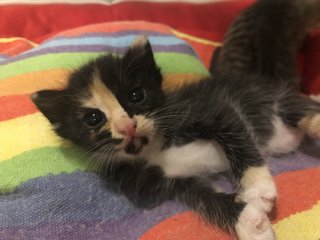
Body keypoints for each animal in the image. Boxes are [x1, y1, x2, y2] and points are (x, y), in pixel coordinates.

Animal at [31, 0, 320, 239]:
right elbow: (204, 198)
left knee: (300, 111)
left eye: (137, 95)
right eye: (93, 118)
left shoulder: (206, 109)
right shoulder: (174, 182)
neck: (154, 148)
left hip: (270, 97)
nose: (127, 125)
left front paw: (257, 187)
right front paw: (249, 222)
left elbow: (237, 138)